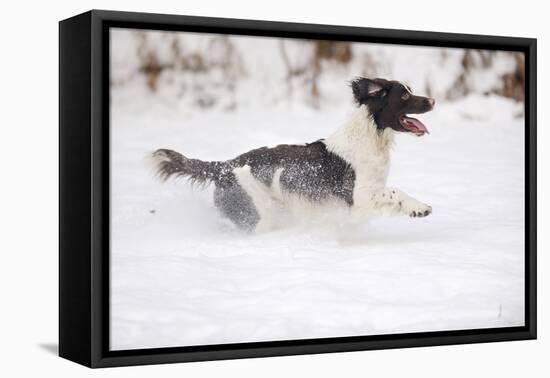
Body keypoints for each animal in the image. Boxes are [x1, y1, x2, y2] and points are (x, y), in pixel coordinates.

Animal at [154, 77, 436, 232]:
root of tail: (222, 167)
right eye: (404, 95)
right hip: (260, 213)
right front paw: (420, 208)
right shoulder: (357, 197)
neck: (370, 136)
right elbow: (395, 192)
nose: (432, 100)